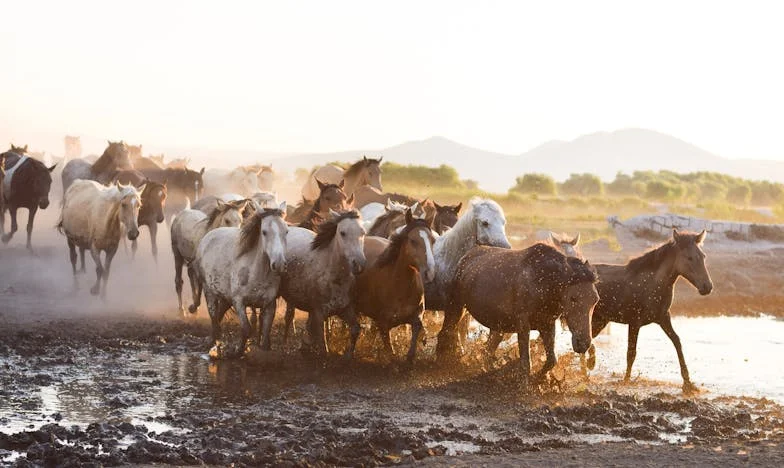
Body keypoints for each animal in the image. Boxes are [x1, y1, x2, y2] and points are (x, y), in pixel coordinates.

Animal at [196, 202, 288, 358]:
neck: (257, 272)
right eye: (264, 232)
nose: (279, 264)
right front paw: (237, 351)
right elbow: (246, 328)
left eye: (286, 231)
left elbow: (265, 334)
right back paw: (215, 344)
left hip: (225, 297)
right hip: (209, 291)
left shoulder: (269, 305)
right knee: (214, 316)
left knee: (219, 315)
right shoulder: (239, 302)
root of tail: (208, 237)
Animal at [278, 210, 368, 356]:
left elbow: (355, 329)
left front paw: (348, 356)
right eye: (342, 232)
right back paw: (282, 344)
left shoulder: (345, 308)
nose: (359, 264)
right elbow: (322, 342)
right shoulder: (319, 312)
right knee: (287, 317)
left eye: (363, 232)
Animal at [354, 210, 434, 364]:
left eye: (433, 240)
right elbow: (390, 353)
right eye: (413, 240)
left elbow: (416, 332)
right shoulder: (383, 324)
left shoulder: (416, 315)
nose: (430, 272)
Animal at [438, 241, 596, 388]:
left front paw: (539, 379)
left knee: (487, 350)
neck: (543, 281)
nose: (583, 343)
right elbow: (526, 362)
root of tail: (466, 257)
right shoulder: (523, 324)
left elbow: (552, 360)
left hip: (498, 327)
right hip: (456, 308)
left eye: (595, 299)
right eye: (573, 298)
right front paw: (524, 387)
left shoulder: (547, 324)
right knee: (445, 333)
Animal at [584, 229, 712, 394]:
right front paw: (626, 380)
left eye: (703, 256)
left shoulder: (663, 318)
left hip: (599, 320)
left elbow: (677, 342)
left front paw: (688, 384)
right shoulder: (634, 322)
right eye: (689, 257)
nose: (707, 287)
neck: (654, 284)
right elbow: (631, 352)